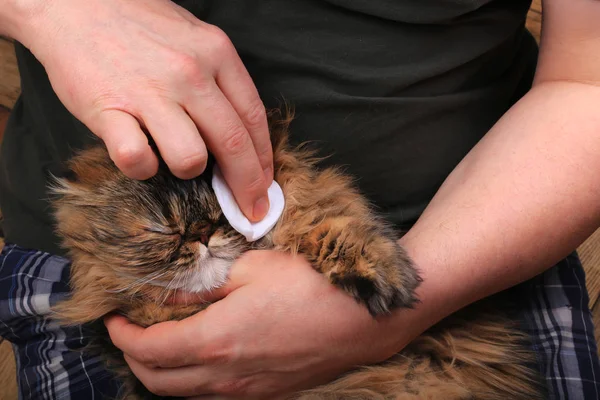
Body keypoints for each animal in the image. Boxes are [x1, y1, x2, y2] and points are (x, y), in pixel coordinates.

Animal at [51, 113, 548, 400]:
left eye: (221, 211)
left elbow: (333, 228)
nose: (203, 235)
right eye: (162, 229)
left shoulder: (315, 210)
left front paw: (383, 276)